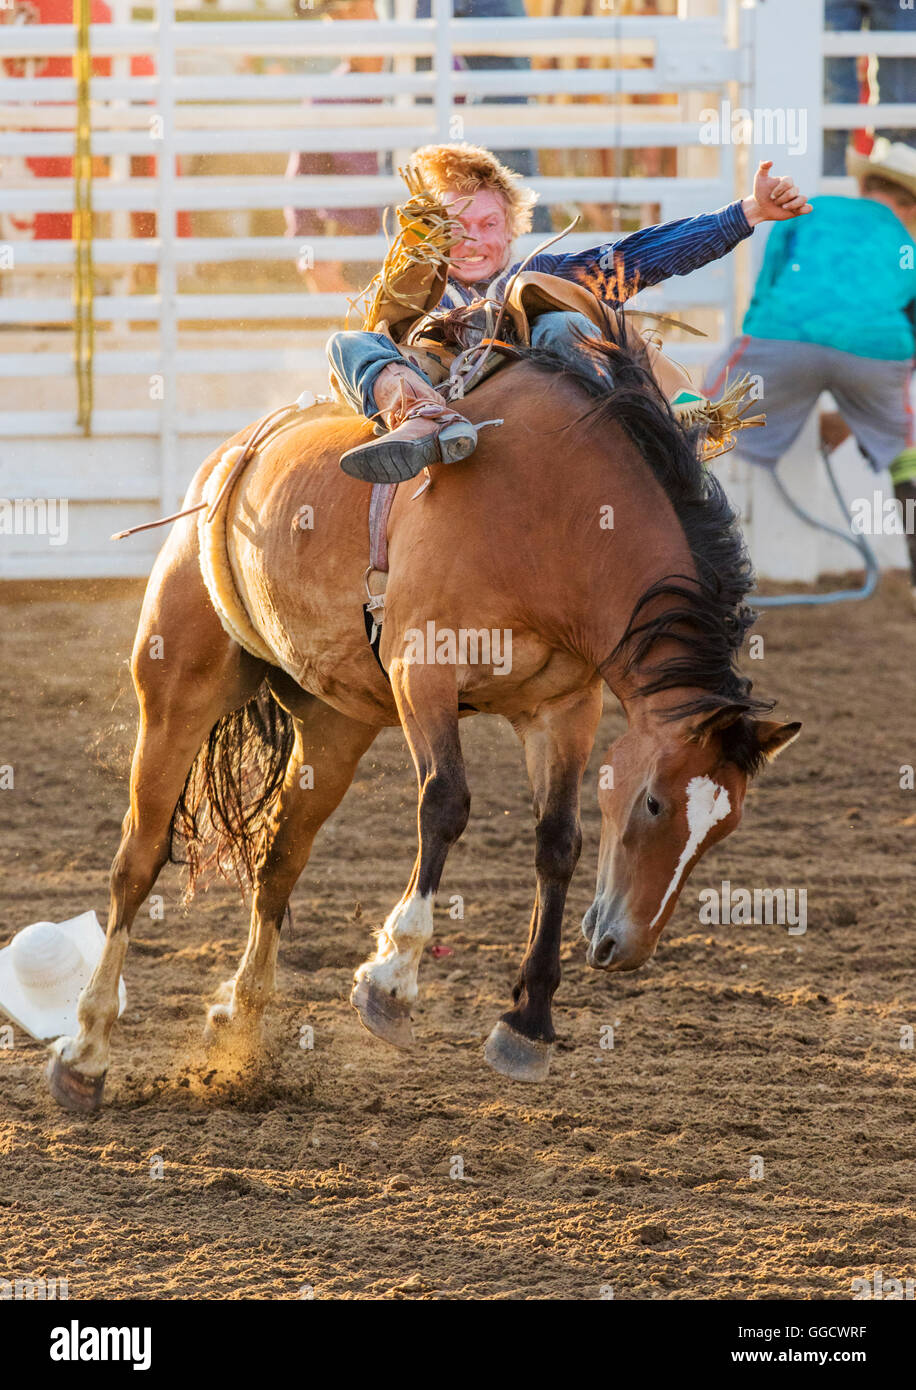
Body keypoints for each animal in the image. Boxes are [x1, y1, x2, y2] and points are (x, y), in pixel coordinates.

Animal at [45, 322, 800, 1112]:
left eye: (725, 829)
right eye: (654, 803)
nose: (625, 951)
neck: (555, 516)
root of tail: (232, 456)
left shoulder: (563, 708)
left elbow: (558, 841)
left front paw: (528, 1022)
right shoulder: (424, 670)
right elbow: (446, 804)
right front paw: (392, 981)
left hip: (333, 728)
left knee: (279, 861)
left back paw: (241, 1028)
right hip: (176, 690)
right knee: (137, 859)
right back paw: (86, 1051)